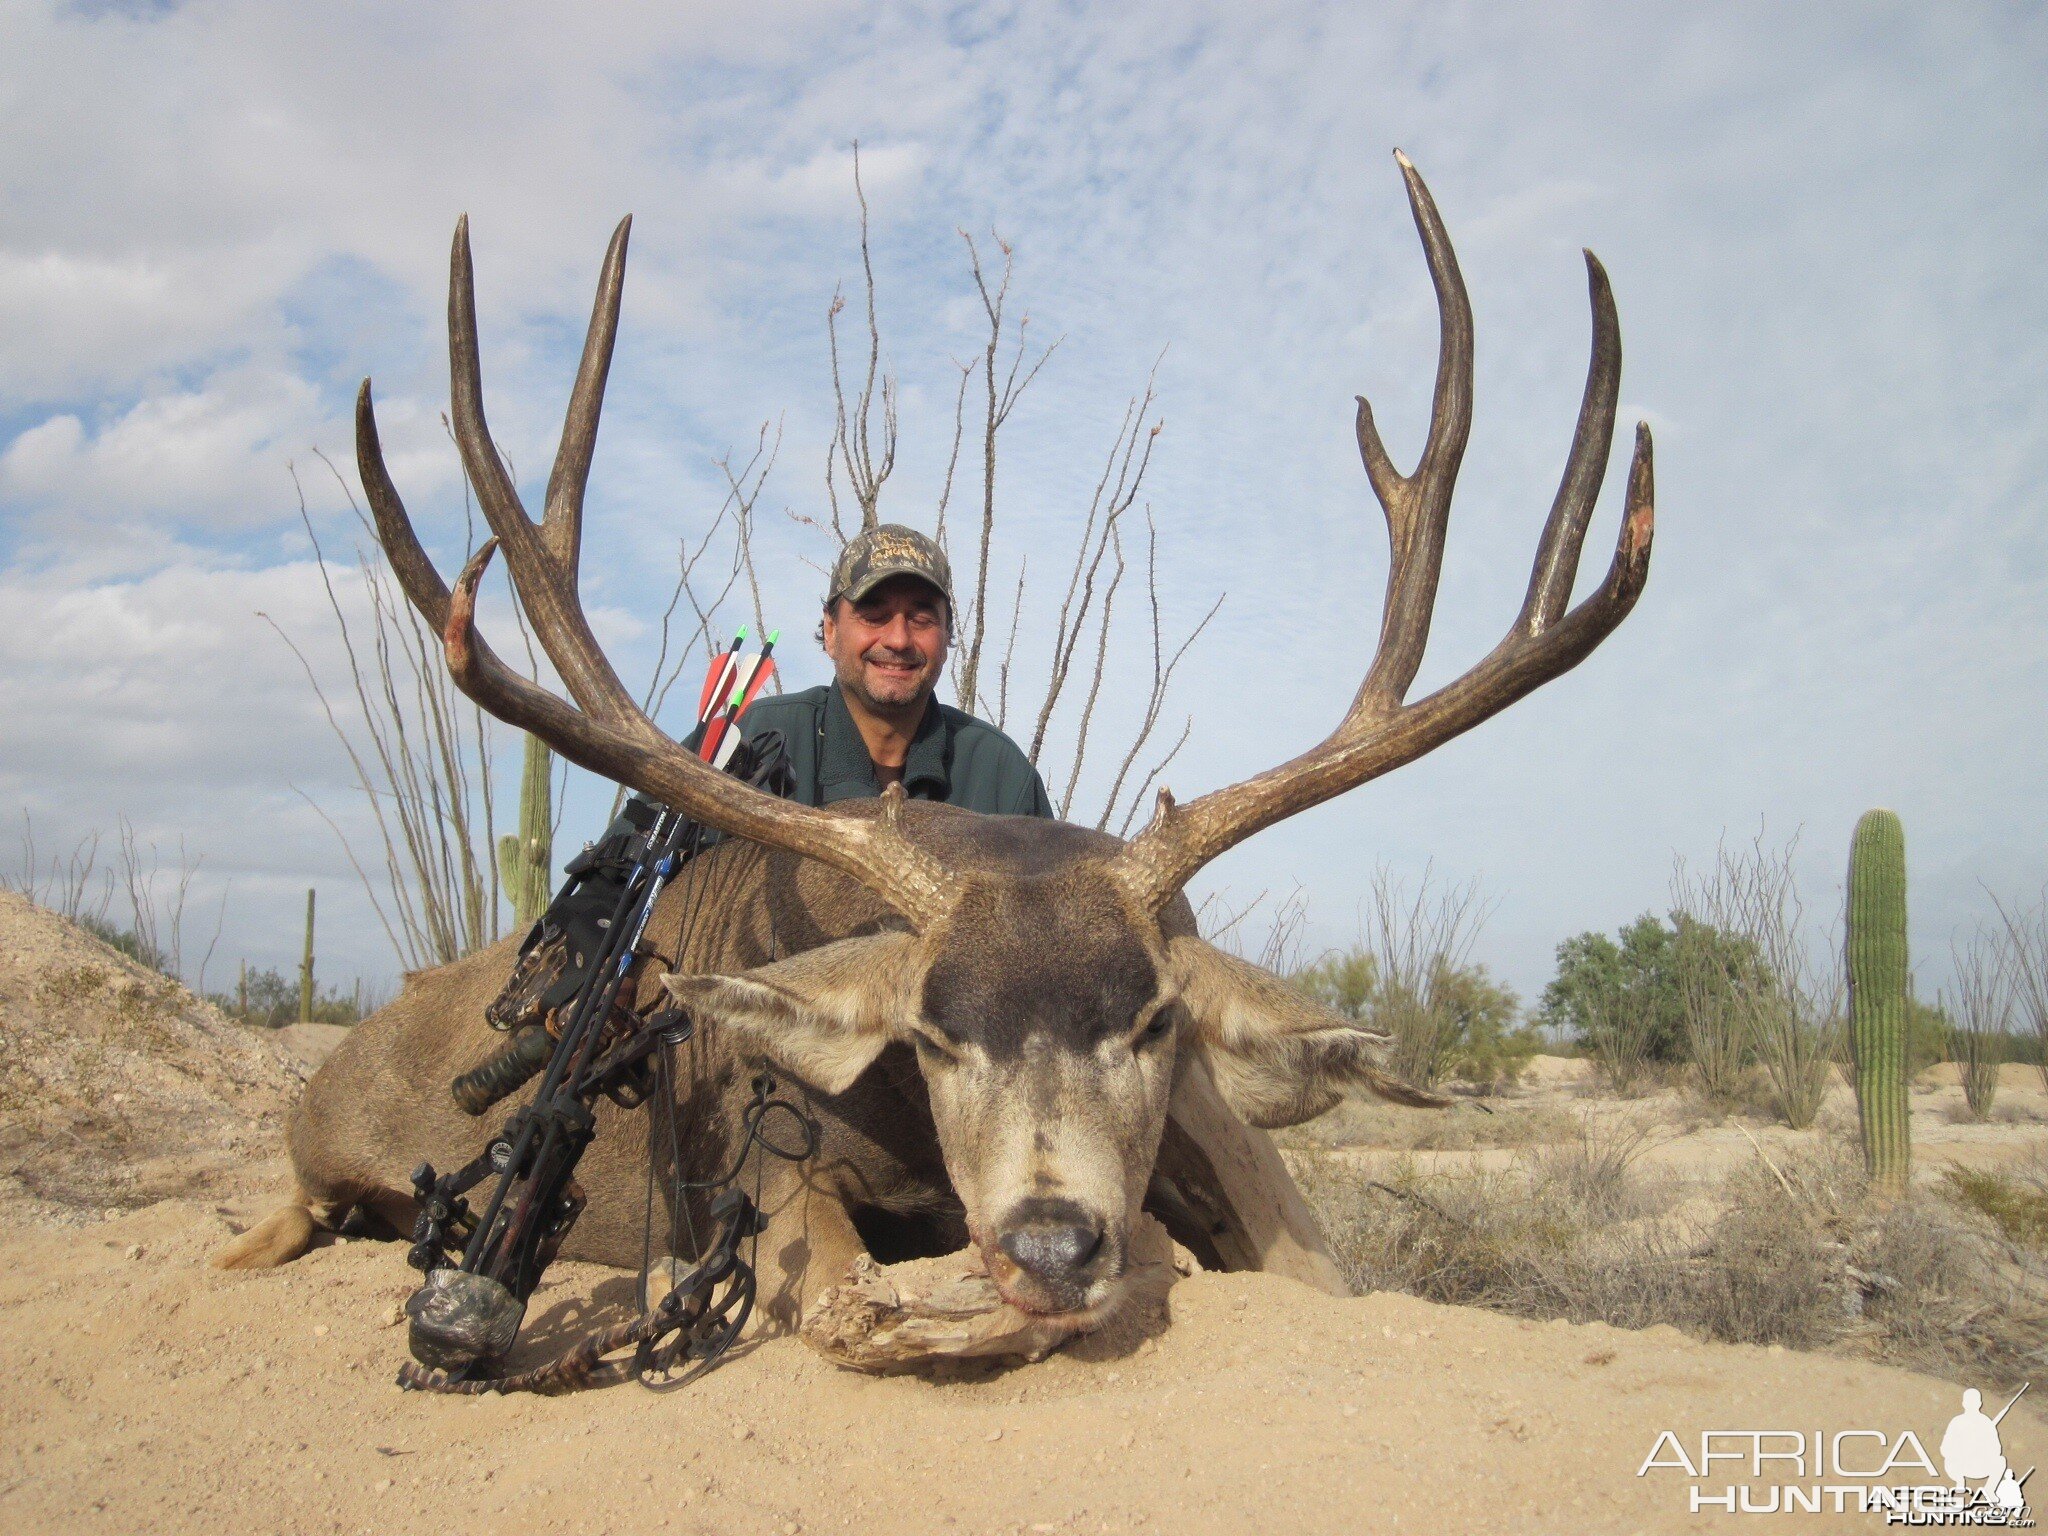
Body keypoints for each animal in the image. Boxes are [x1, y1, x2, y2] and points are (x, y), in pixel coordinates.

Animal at [216, 152, 1654, 1344]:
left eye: (1151, 1019)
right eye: (928, 1031)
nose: (1051, 1240)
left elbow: (1317, 1272)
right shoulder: (764, 1169)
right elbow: (858, 1304)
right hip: (319, 1140)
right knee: (291, 1208)